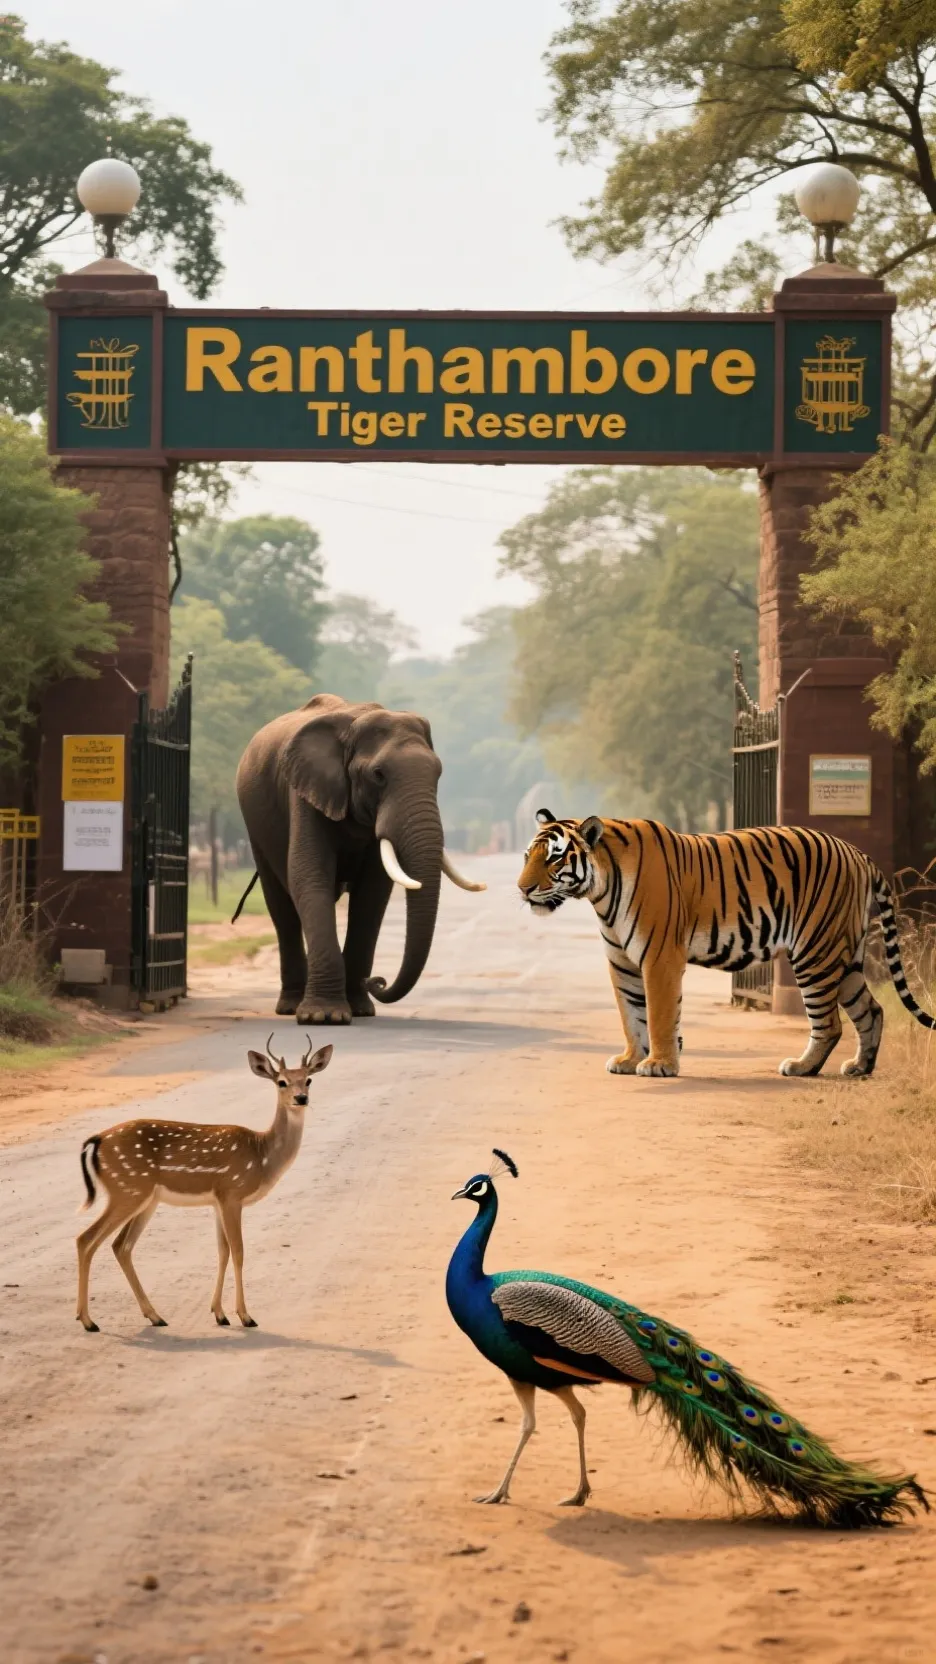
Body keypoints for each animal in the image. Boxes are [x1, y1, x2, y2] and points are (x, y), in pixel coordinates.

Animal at [517, 809, 935, 1079]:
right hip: (845, 956)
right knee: (872, 1010)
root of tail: (857, 852)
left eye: (555, 859)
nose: (522, 889)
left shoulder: (659, 957)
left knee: (830, 1023)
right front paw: (630, 1058)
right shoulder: (621, 962)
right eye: (527, 856)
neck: (601, 890)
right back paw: (860, 1067)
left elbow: (658, 1014)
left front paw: (659, 1064)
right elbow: (631, 1015)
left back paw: (802, 1067)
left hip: (816, 952)